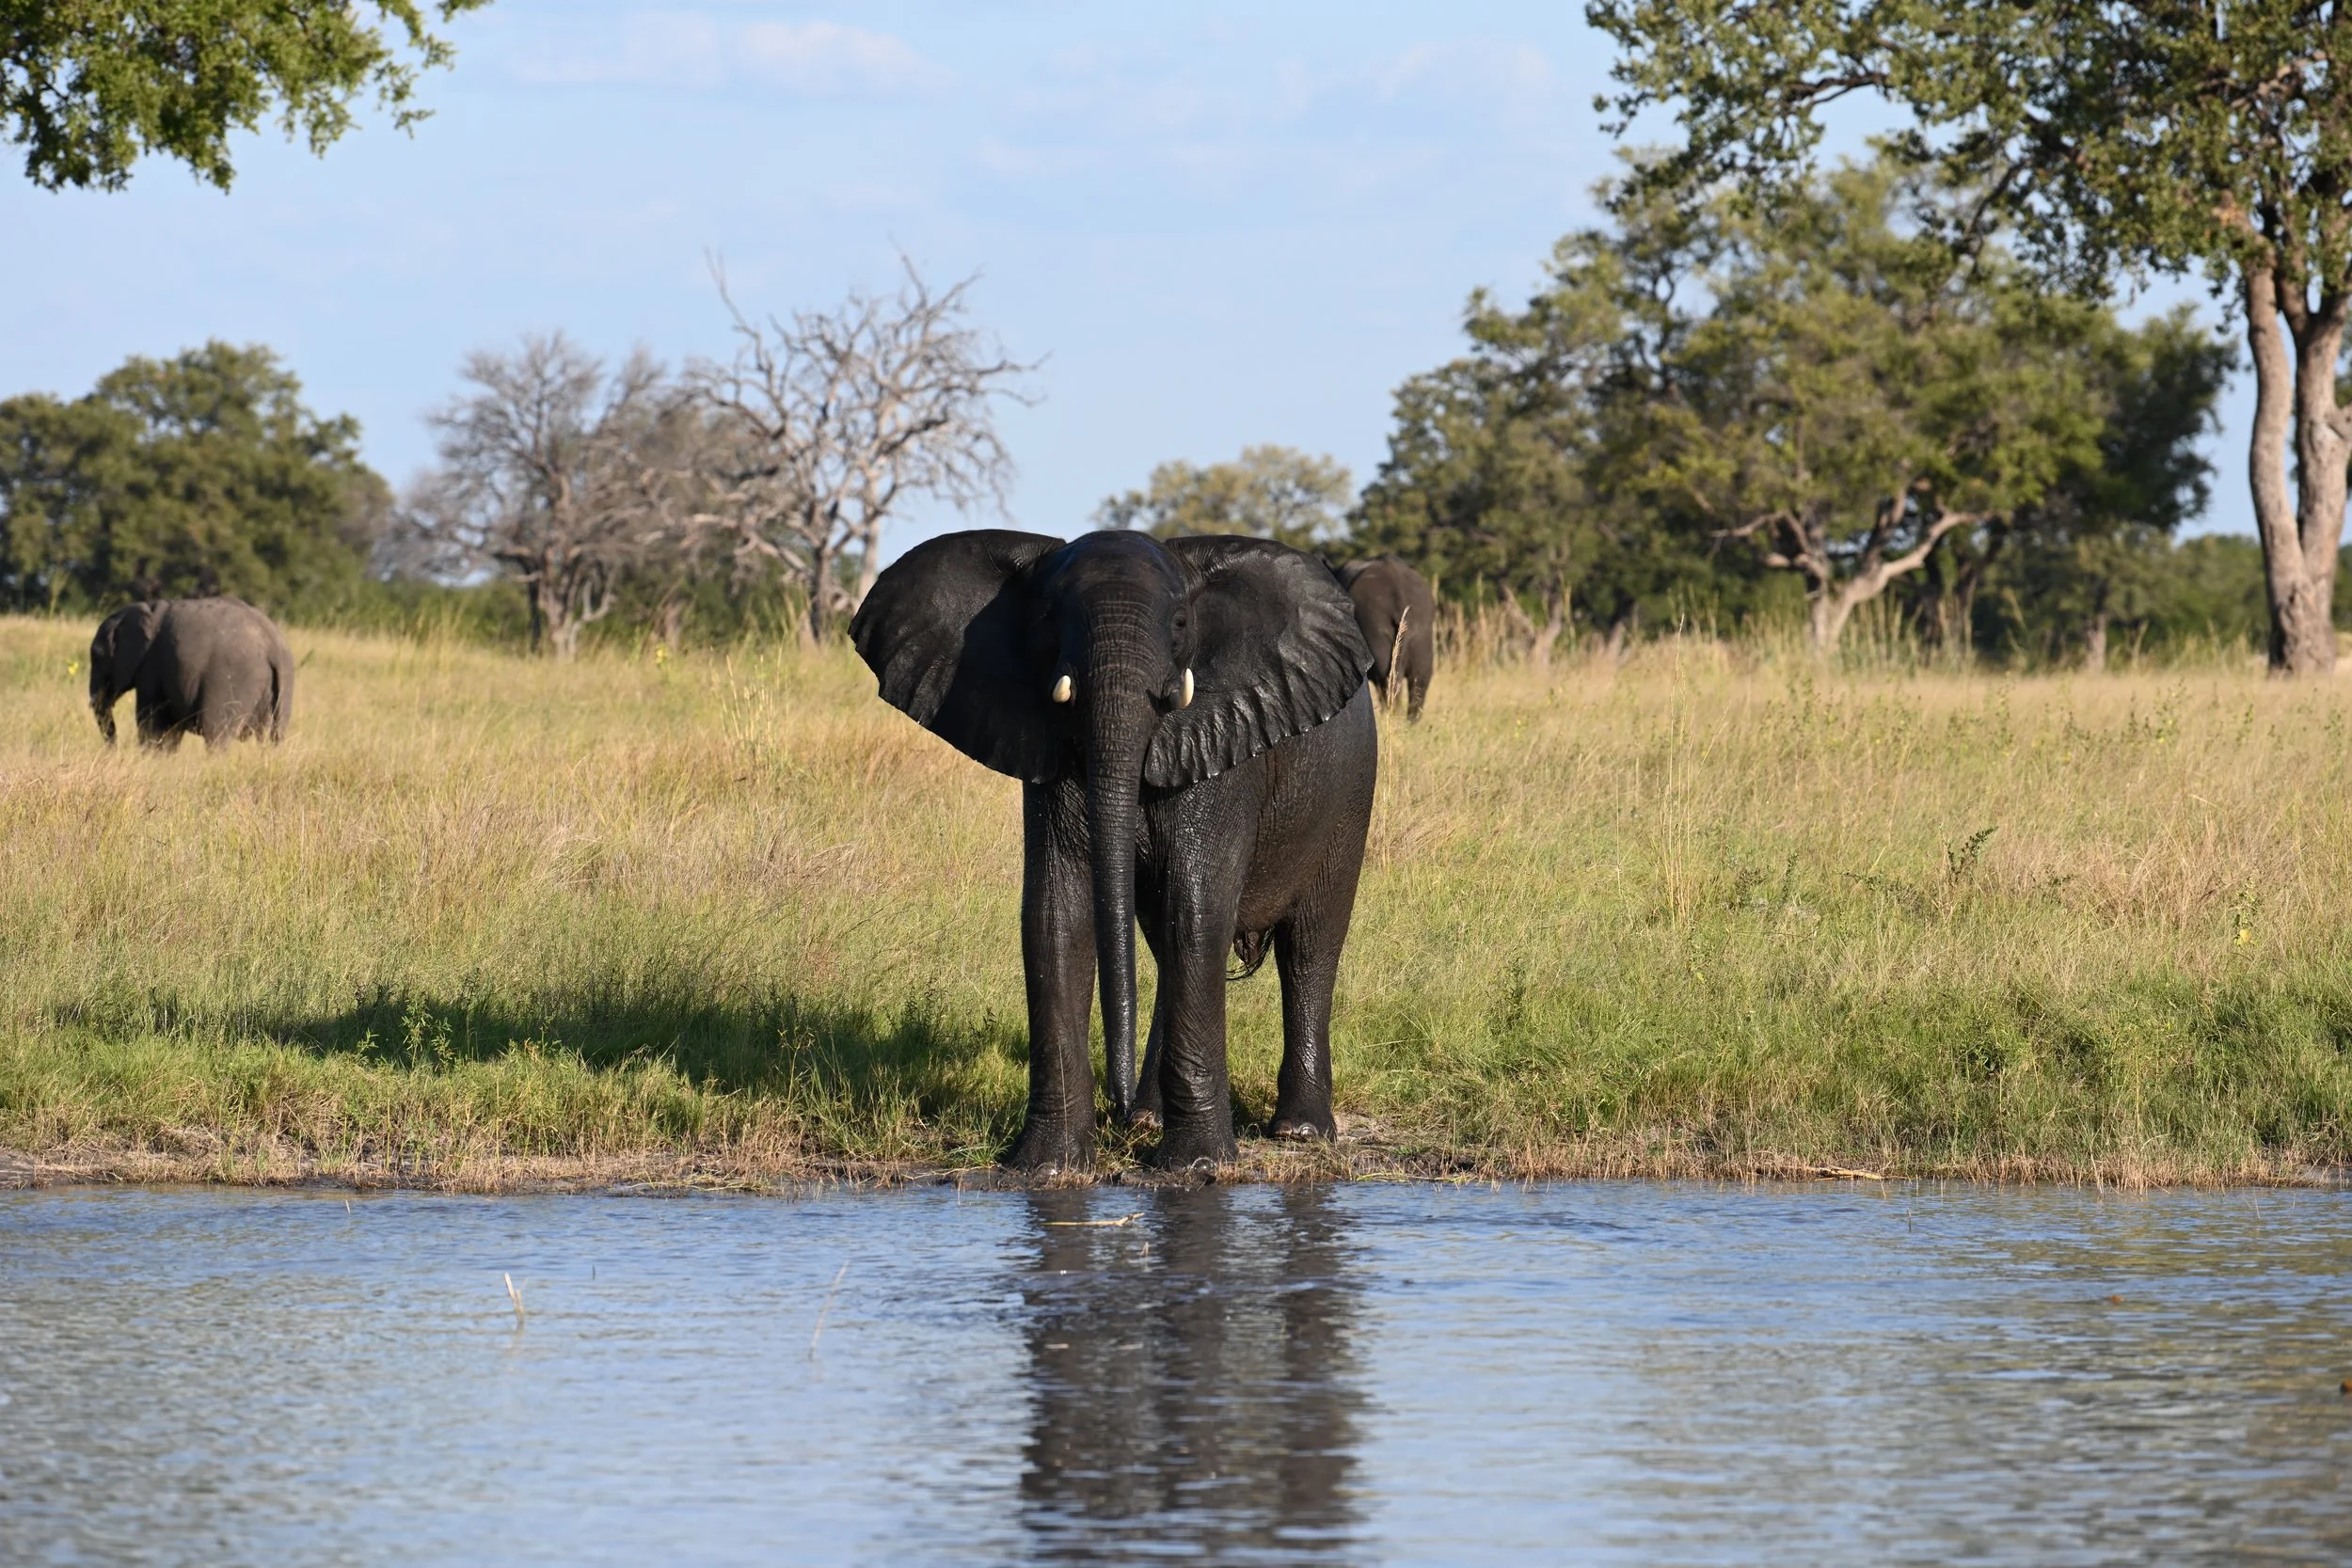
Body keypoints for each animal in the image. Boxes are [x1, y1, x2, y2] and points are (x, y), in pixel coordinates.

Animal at [89, 597, 293, 749]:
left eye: (97, 656)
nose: (115, 750)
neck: (146, 609)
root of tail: (273, 646)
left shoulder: (151, 663)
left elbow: (154, 721)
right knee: (271, 738)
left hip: (233, 681)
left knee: (216, 736)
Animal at [851, 529, 1377, 1172]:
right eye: (1047, 619)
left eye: (1180, 623)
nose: (1117, 1108)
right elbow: (1056, 916)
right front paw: (1046, 1166)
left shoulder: (1219, 744)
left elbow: (1196, 913)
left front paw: (1196, 1167)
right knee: (1163, 944)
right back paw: (1152, 1117)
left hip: (1350, 796)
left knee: (1309, 944)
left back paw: (1297, 1133)